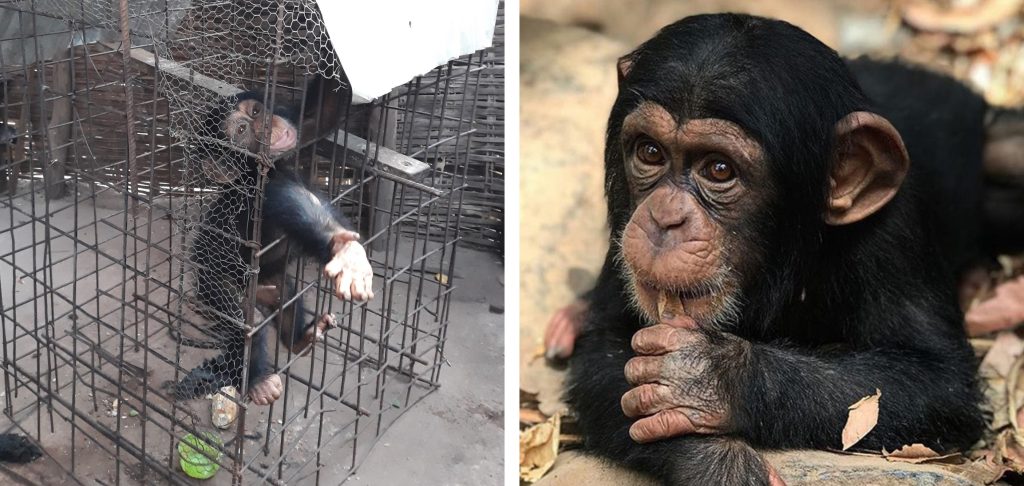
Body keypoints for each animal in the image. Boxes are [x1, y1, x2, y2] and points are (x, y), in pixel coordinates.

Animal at [177, 78, 376, 407]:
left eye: (256, 112)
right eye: (241, 131)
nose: (266, 124)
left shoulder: (300, 130)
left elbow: (325, 109)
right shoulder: (262, 190)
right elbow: (296, 204)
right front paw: (346, 253)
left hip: (273, 283)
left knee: (287, 299)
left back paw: (300, 340)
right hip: (211, 280)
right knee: (248, 323)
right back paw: (256, 382)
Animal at [552, 13, 1024, 484]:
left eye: (718, 169)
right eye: (650, 152)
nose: (665, 218)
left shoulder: (894, 231)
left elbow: (936, 377)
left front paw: (708, 377)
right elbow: (605, 352)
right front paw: (720, 464)